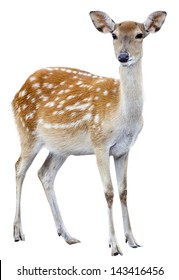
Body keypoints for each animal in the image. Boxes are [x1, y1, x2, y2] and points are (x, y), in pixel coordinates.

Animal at [12, 11, 166, 256]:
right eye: (114, 35)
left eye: (140, 35)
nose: (123, 56)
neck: (123, 117)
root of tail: (16, 93)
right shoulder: (99, 143)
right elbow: (108, 192)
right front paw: (114, 246)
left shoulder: (123, 150)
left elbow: (123, 191)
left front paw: (133, 240)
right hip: (27, 132)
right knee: (19, 168)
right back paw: (18, 233)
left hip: (60, 148)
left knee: (45, 174)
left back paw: (67, 235)